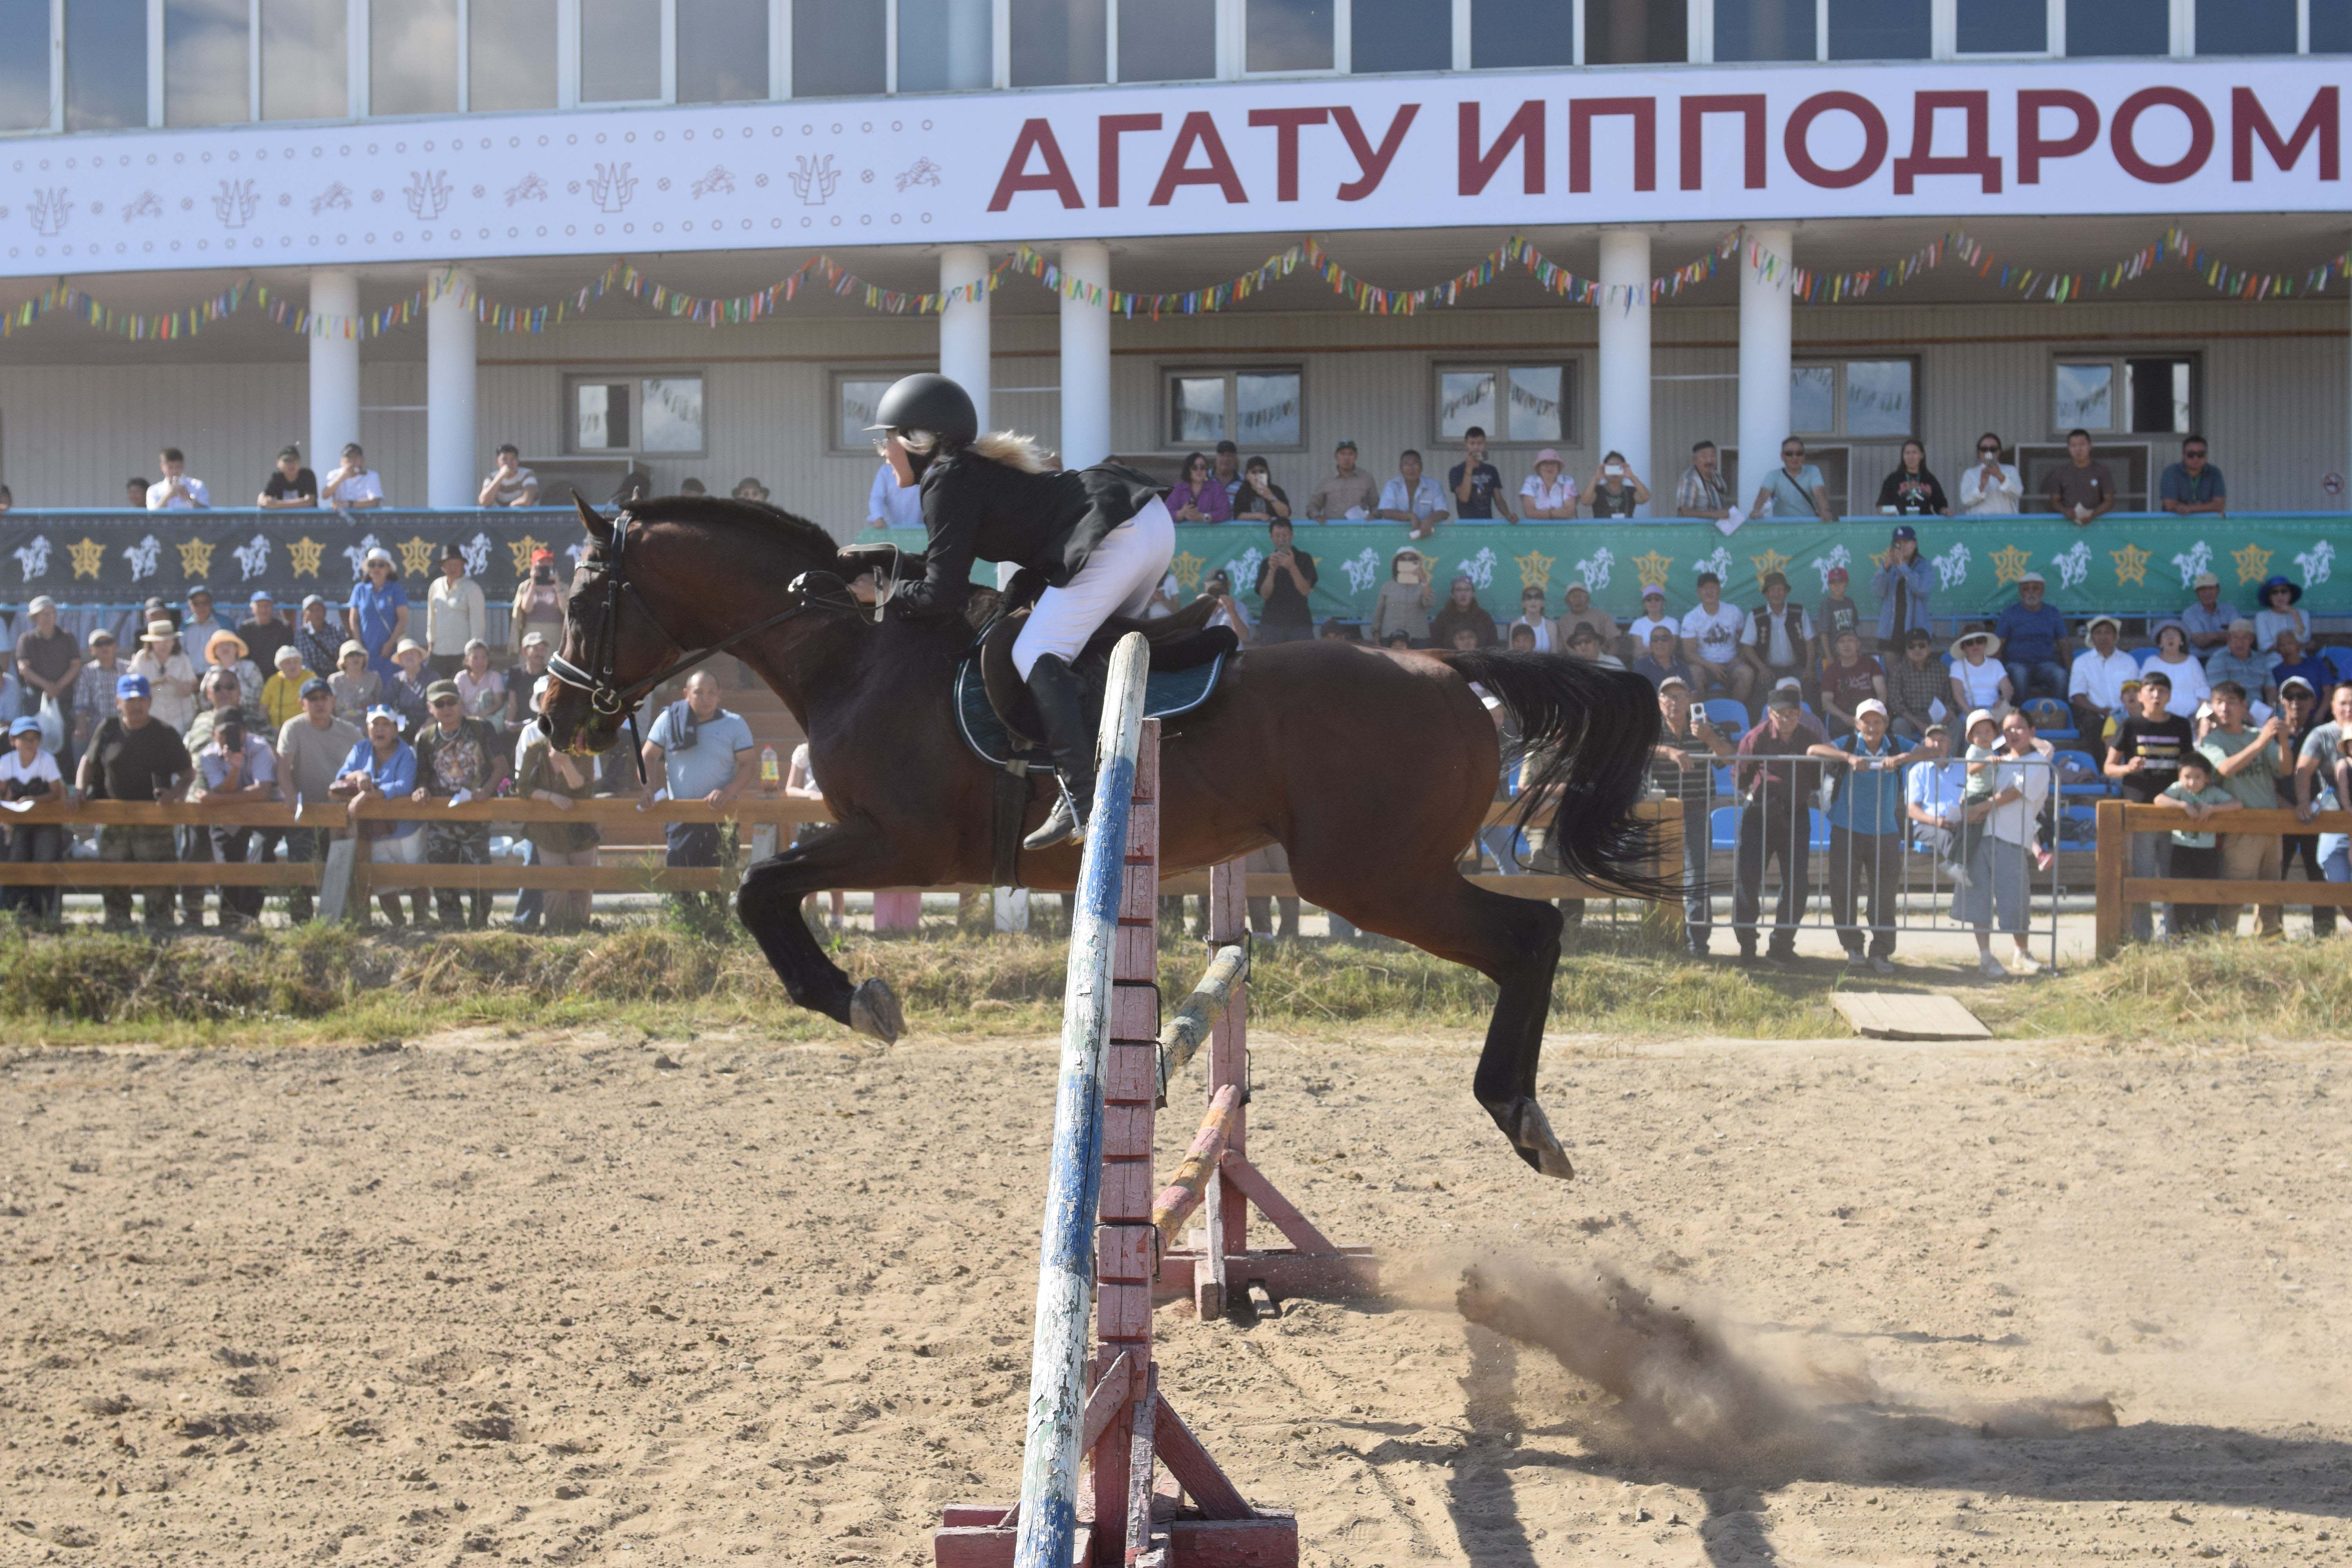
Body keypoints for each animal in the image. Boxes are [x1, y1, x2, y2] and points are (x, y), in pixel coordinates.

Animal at [540, 495, 1663, 1180]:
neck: (853, 656)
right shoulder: (881, 843)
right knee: (1537, 937)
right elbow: (762, 888)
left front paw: (855, 999)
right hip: (1386, 874)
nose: (553, 720)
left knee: (1529, 938)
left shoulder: (900, 844)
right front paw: (855, 995)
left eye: (586, 598)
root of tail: (1451, 667)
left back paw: (1519, 1112)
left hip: (1375, 879)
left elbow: (759, 887)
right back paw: (1530, 1115)